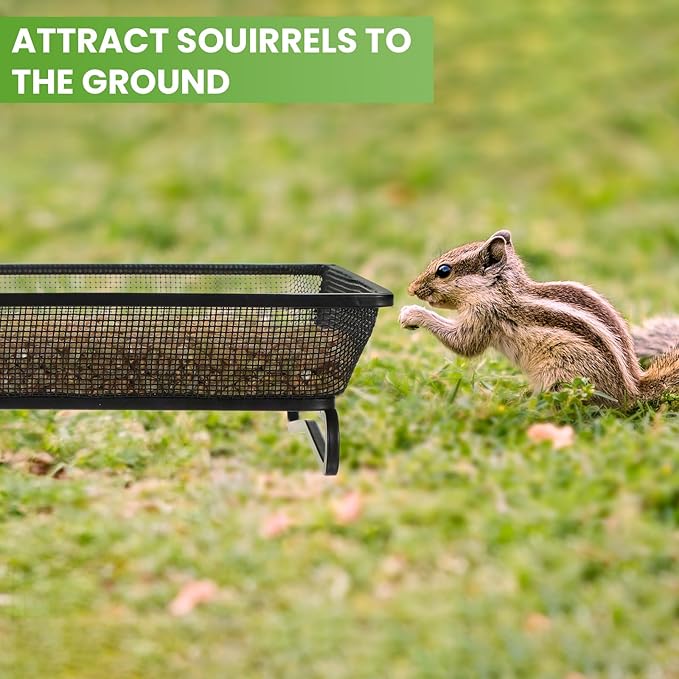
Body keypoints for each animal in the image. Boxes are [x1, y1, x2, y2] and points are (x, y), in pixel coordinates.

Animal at [398, 230, 679, 407]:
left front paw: (412, 313)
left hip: (562, 375)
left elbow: (464, 344)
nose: (411, 288)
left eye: (443, 271)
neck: (498, 290)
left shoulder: (485, 315)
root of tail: (632, 389)